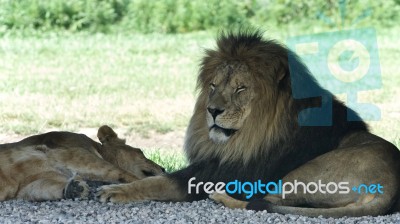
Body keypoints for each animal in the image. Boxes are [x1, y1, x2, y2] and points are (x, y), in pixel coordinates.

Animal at [0, 124, 164, 201]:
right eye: (140, 151)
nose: (163, 168)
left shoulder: (31, 183)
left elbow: (42, 188)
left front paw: (73, 189)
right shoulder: (77, 154)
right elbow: (123, 174)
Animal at [97, 31, 400, 217]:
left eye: (241, 89)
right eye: (213, 86)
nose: (212, 111)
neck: (241, 138)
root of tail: (390, 186)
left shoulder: (225, 173)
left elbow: (158, 182)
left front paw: (115, 191)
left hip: (301, 174)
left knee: (264, 203)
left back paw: (220, 197)